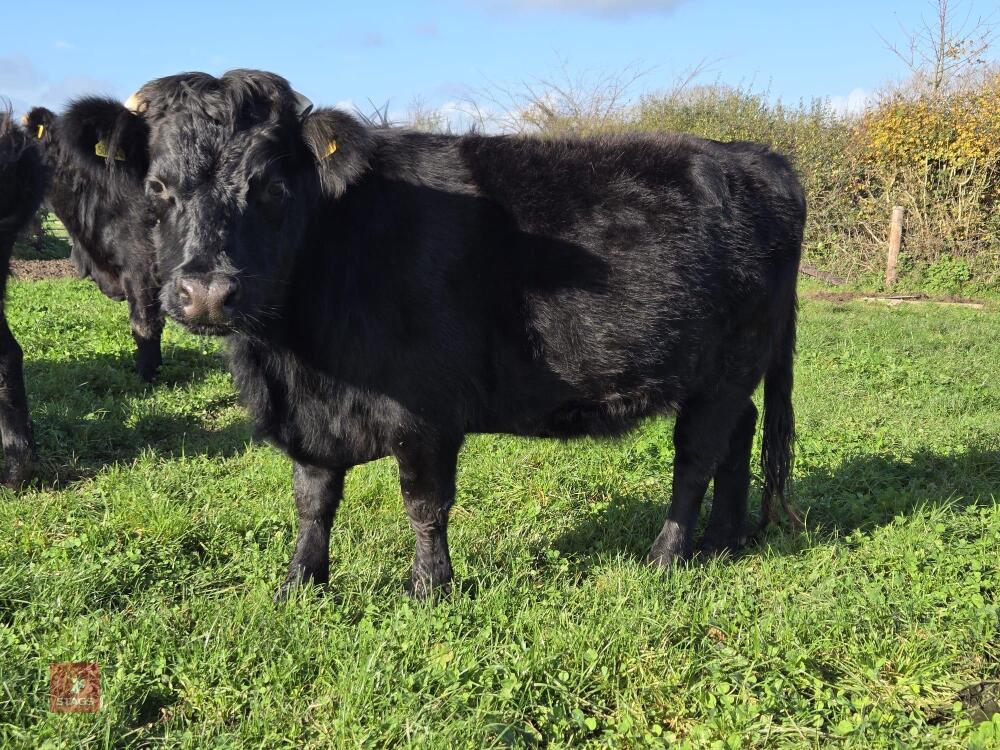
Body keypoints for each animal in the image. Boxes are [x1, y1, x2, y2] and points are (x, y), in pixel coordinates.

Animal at [79, 70, 804, 599]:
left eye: (272, 187)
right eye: (157, 187)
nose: (206, 292)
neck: (293, 361)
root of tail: (754, 156)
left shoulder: (424, 412)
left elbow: (424, 504)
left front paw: (430, 588)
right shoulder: (312, 419)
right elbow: (313, 501)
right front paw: (300, 585)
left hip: (730, 363)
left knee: (696, 455)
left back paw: (667, 557)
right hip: (723, 371)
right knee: (737, 437)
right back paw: (723, 541)